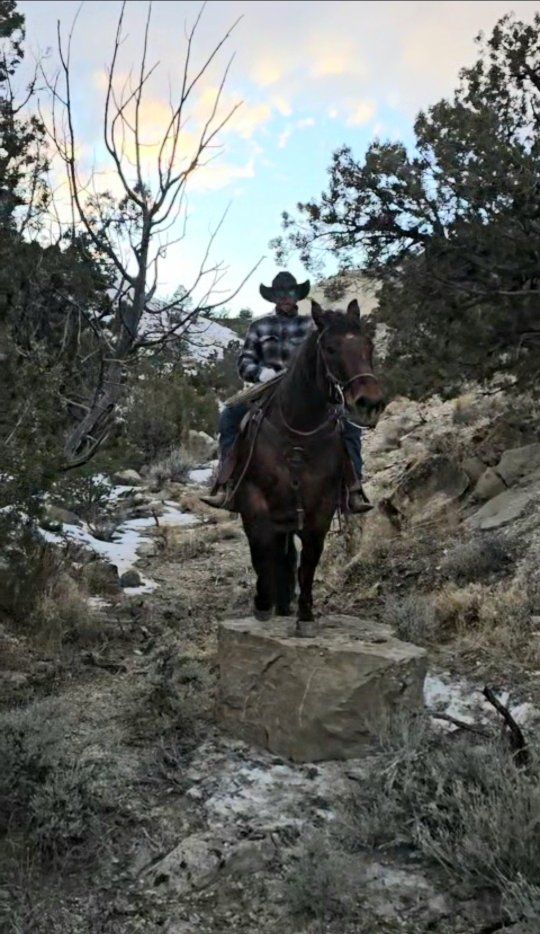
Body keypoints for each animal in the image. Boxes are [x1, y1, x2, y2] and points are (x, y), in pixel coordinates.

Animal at [234, 298, 385, 635]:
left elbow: (309, 562)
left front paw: (305, 616)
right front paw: (262, 603)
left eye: (369, 345)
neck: (297, 431)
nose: (369, 403)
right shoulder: (254, 501)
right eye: (329, 348)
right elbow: (260, 550)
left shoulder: (321, 508)